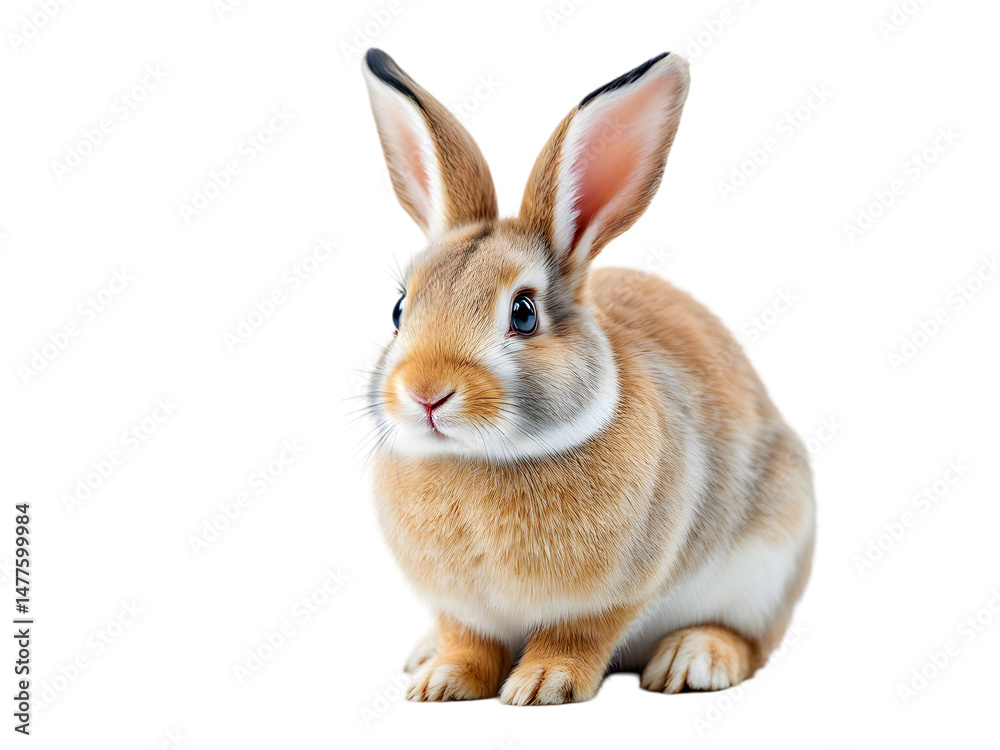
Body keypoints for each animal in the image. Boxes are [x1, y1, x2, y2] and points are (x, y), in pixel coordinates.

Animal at [360, 47, 815, 705]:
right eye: (399, 310)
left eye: (524, 313)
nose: (425, 393)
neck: (484, 458)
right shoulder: (462, 610)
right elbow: (468, 641)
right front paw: (442, 681)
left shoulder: (610, 597)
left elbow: (576, 635)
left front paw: (541, 685)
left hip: (769, 560)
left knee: (752, 640)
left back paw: (693, 660)